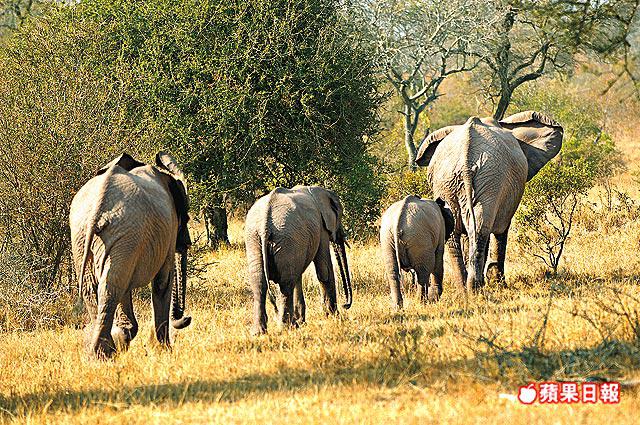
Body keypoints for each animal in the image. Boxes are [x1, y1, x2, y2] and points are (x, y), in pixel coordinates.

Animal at [69, 152, 192, 358]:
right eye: (188, 216)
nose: (187, 318)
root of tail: (98, 206)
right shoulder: (169, 230)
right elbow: (162, 283)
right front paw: (165, 350)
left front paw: (124, 339)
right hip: (125, 232)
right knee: (111, 286)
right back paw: (102, 353)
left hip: (86, 235)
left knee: (94, 287)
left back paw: (100, 352)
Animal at [244, 185, 352, 335]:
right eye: (339, 217)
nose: (345, 305)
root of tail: (265, 225)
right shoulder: (321, 228)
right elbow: (324, 271)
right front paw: (335, 317)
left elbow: (298, 276)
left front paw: (302, 321)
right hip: (286, 239)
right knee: (285, 284)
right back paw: (287, 327)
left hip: (255, 240)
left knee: (259, 283)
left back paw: (259, 332)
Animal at [415, 111, 563, 291]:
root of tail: (465, 158)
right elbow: (502, 230)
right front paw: (499, 282)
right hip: (490, 179)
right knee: (480, 228)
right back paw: (475, 287)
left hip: (448, 183)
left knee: (458, 232)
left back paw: (464, 288)